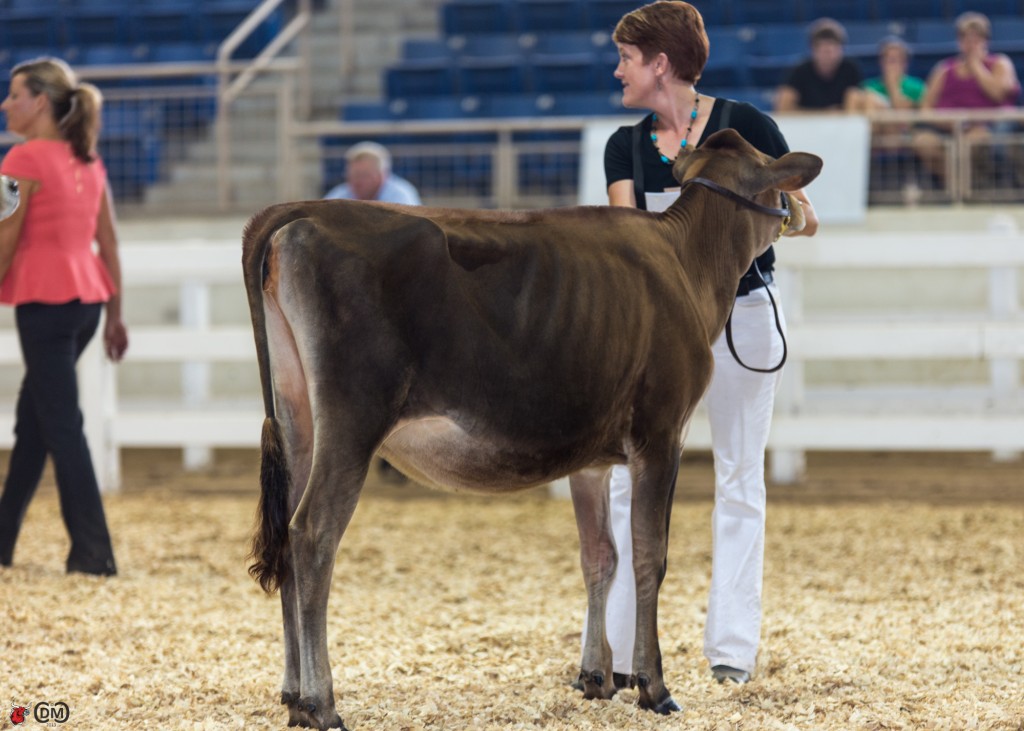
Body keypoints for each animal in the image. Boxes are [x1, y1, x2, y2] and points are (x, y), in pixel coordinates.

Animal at [242, 128, 822, 730]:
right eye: (777, 176)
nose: (804, 214)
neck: (686, 261)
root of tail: (302, 211)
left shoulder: (591, 459)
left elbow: (600, 557)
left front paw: (595, 677)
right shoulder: (662, 433)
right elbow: (648, 556)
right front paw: (653, 687)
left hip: (297, 417)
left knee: (287, 533)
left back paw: (292, 694)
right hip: (353, 419)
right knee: (313, 532)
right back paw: (321, 704)